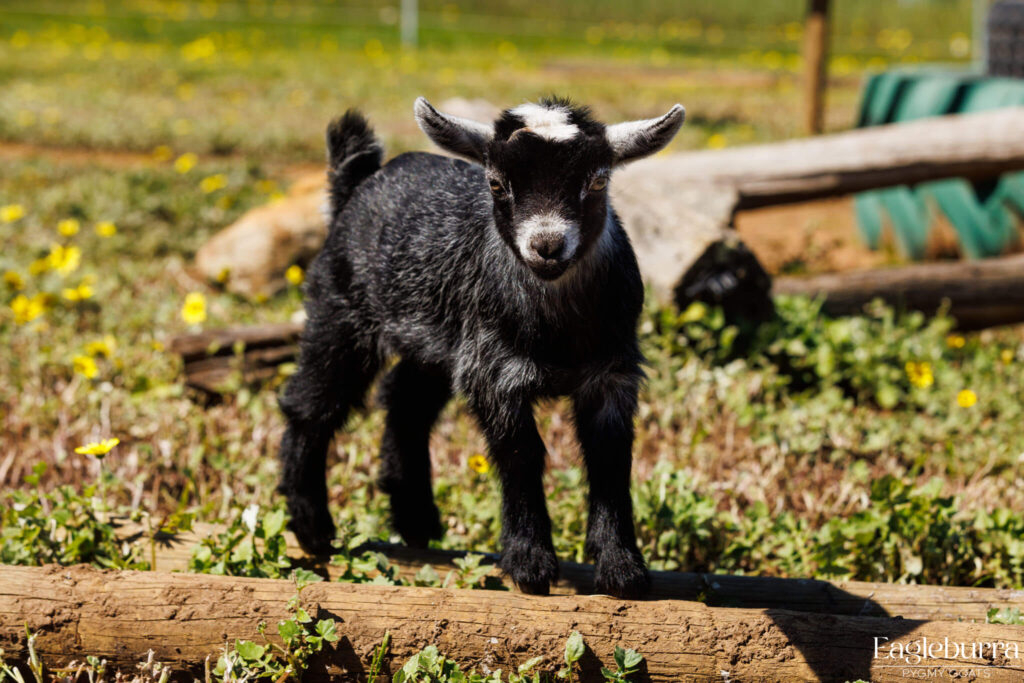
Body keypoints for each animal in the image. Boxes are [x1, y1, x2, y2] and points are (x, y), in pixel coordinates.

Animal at [277, 97, 684, 598]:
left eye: (598, 181)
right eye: (495, 182)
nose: (547, 245)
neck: (557, 327)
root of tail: (357, 184)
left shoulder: (612, 373)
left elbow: (610, 457)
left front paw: (622, 569)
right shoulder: (494, 370)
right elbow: (520, 453)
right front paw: (529, 564)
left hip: (433, 340)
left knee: (405, 403)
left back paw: (416, 521)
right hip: (340, 311)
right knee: (313, 403)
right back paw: (312, 526)